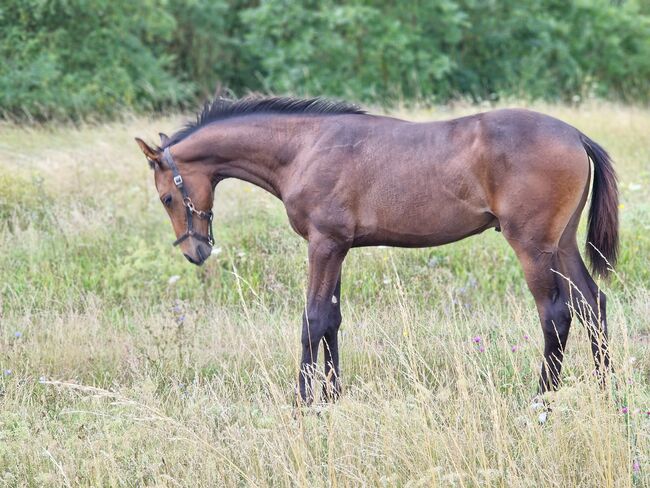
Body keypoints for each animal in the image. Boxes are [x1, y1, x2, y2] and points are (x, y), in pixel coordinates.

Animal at [133, 96, 616, 404]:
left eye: (167, 197)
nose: (195, 251)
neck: (304, 149)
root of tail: (575, 135)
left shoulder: (323, 244)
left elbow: (311, 320)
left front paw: (304, 401)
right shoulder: (339, 247)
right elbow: (331, 320)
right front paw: (332, 396)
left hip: (532, 245)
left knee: (556, 314)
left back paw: (542, 400)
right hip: (562, 243)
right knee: (593, 304)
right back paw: (607, 391)